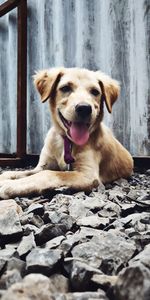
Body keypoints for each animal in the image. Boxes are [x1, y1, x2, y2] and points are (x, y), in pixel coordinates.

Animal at [0, 68, 133, 199]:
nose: (84, 108)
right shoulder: (42, 166)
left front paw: (11, 186)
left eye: (95, 92)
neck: (66, 142)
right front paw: (5, 178)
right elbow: (18, 172)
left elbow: (49, 174)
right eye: (65, 88)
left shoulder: (88, 175)